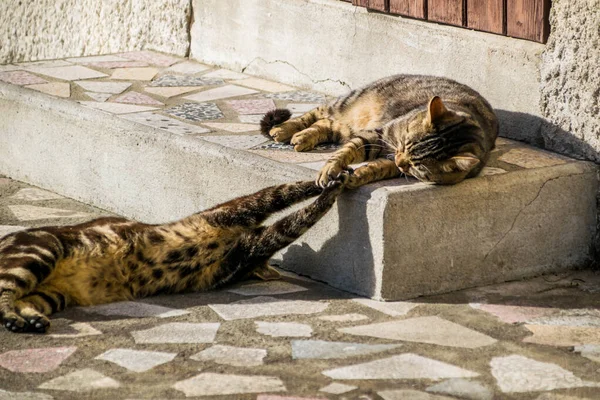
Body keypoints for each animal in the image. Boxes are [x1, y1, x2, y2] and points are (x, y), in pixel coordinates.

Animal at [0, 176, 346, 334]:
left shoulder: (245, 250)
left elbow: (291, 222)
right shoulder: (235, 216)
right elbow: (284, 197)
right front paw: (331, 180)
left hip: (51, 293)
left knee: (19, 299)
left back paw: (28, 320)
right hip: (39, 252)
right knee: (4, 292)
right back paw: (15, 320)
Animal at [260, 74, 500, 188]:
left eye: (418, 166)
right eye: (404, 143)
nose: (400, 160)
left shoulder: (393, 162)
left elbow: (377, 169)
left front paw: (358, 175)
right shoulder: (377, 135)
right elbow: (345, 152)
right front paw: (329, 168)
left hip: (347, 126)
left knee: (327, 124)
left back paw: (303, 137)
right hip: (347, 103)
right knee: (317, 113)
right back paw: (285, 130)